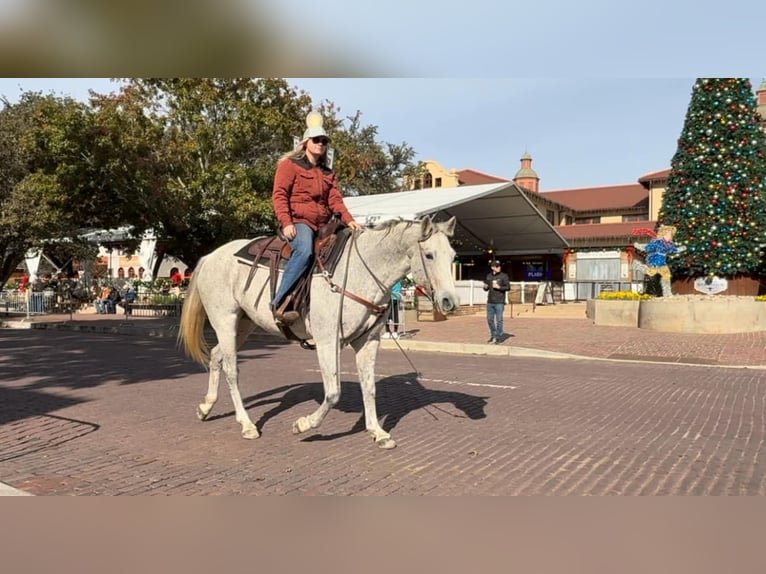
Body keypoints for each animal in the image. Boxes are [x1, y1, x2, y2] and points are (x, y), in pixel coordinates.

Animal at [177, 216, 458, 449]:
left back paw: (206, 407)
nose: (449, 301)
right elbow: (333, 392)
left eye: (453, 255)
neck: (359, 272)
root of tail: (210, 257)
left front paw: (377, 432)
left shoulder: (368, 341)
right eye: (429, 255)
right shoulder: (327, 341)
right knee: (232, 370)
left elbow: (368, 387)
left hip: (245, 323)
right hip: (225, 319)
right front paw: (304, 425)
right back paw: (246, 424)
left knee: (217, 357)